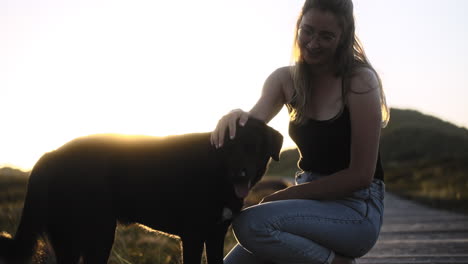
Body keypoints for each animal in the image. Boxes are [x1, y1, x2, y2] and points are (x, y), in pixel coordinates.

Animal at [0, 118, 282, 264]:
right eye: (229, 148)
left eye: (253, 146)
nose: (239, 174)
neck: (216, 170)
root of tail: (49, 155)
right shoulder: (192, 236)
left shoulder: (214, 235)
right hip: (97, 234)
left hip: (74, 239)